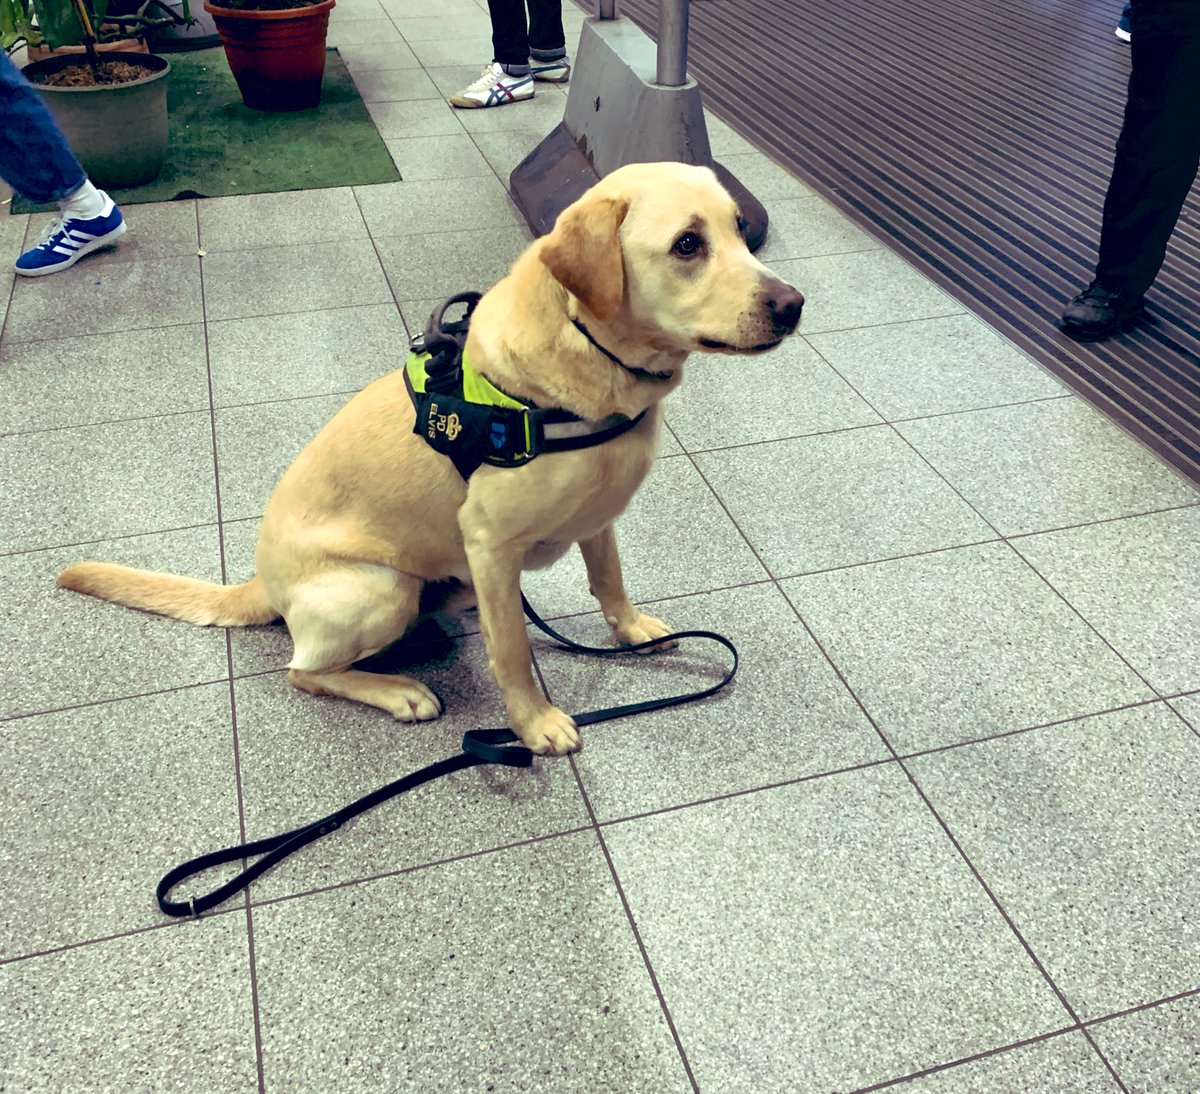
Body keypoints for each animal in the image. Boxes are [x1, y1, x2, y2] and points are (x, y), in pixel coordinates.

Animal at [58, 161, 806, 758]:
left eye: (741, 229)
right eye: (688, 244)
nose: (794, 305)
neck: (591, 361)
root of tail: (261, 583)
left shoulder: (598, 517)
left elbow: (609, 579)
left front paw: (631, 631)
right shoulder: (491, 542)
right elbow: (513, 652)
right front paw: (533, 724)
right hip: (378, 589)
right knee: (304, 670)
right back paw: (398, 690)